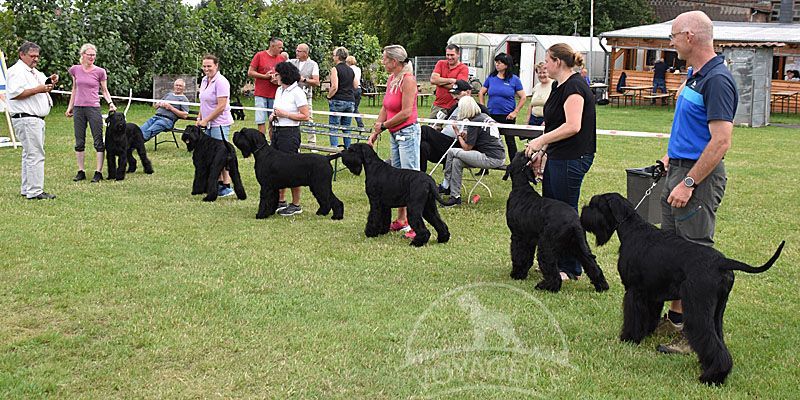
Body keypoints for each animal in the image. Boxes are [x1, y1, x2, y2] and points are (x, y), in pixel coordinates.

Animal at [502, 151, 609, 293]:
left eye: (519, 156)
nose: (524, 151)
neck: (521, 187)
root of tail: (574, 222)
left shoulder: (519, 236)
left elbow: (519, 256)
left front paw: (517, 274)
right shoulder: (530, 239)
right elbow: (527, 258)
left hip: (546, 246)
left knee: (552, 271)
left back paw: (546, 286)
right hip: (579, 246)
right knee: (592, 265)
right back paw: (602, 286)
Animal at [580, 192, 785, 385]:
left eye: (594, 205)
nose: (582, 212)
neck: (631, 229)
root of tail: (722, 262)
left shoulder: (634, 291)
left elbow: (634, 317)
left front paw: (629, 338)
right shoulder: (652, 294)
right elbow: (649, 316)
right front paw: (645, 334)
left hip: (698, 308)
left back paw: (712, 377)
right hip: (717, 312)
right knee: (718, 338)